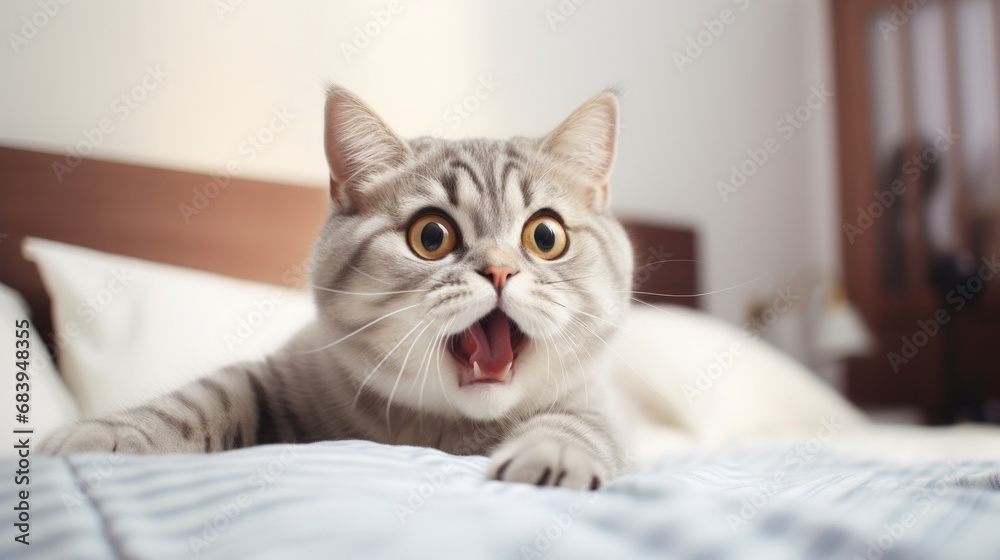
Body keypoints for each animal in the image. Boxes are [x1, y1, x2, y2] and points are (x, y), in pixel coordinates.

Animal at [43, 84, 632, 490]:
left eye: (546, 236)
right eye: (432, 236)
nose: (500, 271)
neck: (439, 426)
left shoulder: (594, 405)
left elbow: (578, 428)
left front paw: (553, 456)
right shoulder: (278, 373)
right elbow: (198, 400)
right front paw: (101, 436)